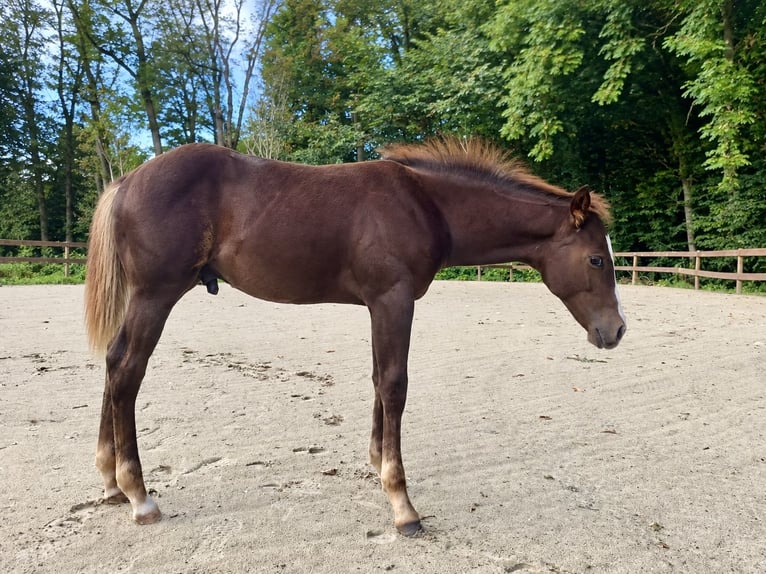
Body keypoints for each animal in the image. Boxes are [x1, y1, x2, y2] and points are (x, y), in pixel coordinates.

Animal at [84, 137, 626, 536]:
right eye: (597, 259)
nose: (616, 330)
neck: (427, 205)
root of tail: (128, 180)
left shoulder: (378, 304)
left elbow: (377, 380)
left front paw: (375, 462)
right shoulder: (394, 299)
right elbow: (394, 385)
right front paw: (402, 504)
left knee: (112, 362)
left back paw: (110, 482)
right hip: (156, 294)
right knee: (128, 370)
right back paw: (139, 496)